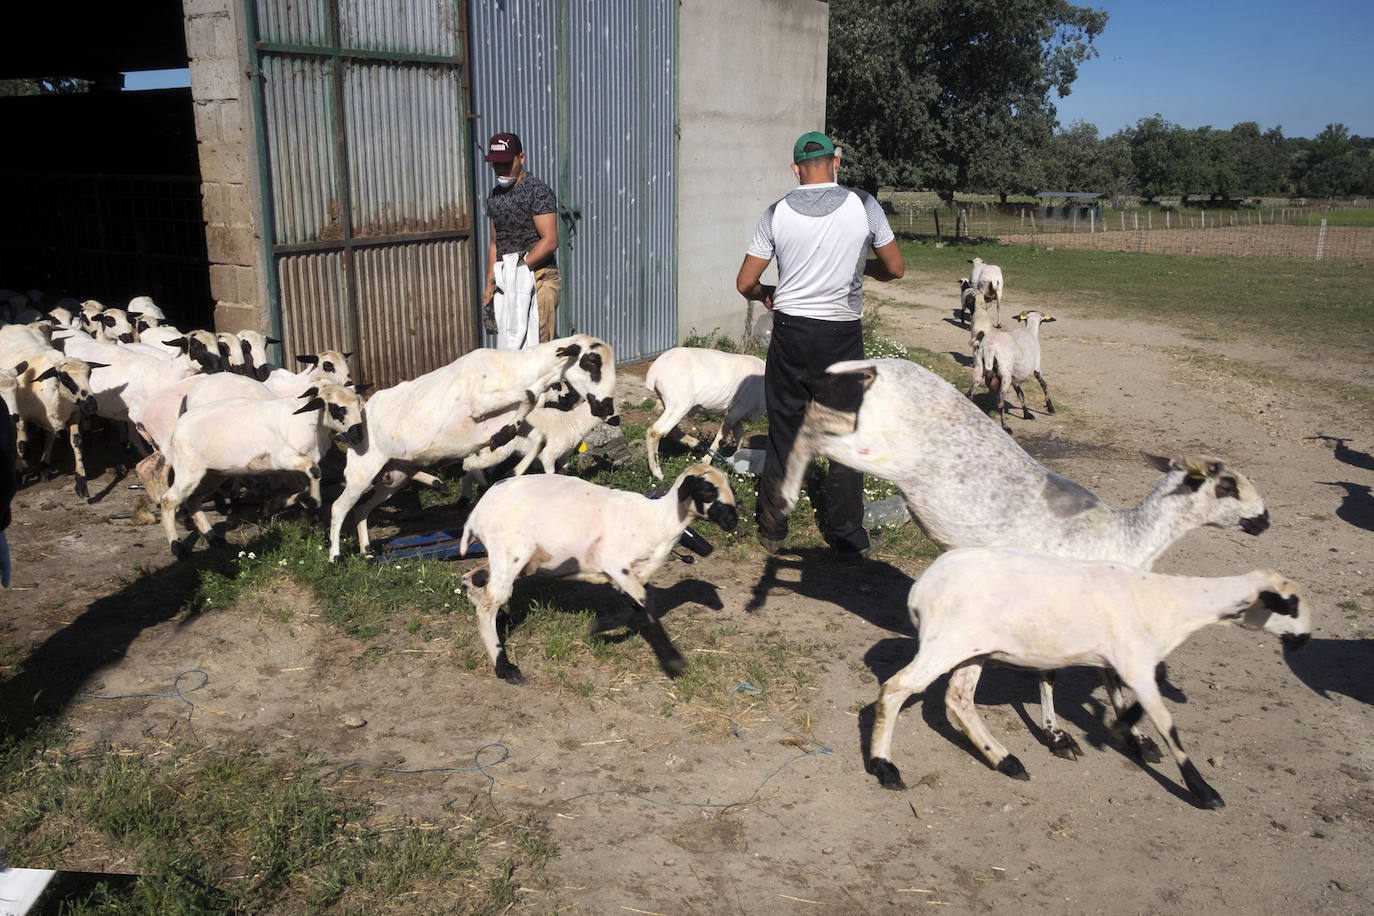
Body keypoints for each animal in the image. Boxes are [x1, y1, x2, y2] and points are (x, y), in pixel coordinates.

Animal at [324, 333, 615, 563]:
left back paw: (366, 551)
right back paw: (335, 557)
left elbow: (529, 420)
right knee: (338, 508)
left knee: (361, 509)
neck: (512, 370)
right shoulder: (480, 404)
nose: (607, 407)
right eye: (591, 362)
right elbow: (529, 395)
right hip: (363, 470)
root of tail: (362, 412)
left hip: (394, 476)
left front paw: (506, 453)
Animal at [458, 466, 741, 681]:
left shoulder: (625, 576)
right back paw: (504, 667)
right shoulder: (617, 565)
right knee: (488, 602)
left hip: (517, 560)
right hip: (511, 551)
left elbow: (637, 607)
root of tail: (476, 513)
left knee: (472, 579)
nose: (732, 522)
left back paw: (502, 621)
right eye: (708, 490)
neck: (660, 521)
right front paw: (674, 662)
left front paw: (599, 627)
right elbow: (647, 605)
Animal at [640, 347, 763, 483]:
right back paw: (658, 473)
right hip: (680, 403)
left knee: (659, 414)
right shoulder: (737, 410)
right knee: (655, 432)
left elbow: (740, 435)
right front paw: (706, 462)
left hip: (668, 402)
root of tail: (655, 372)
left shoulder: (734, 412)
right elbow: (722, 437)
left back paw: (695, 443)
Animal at [780, 357, 1269, 769]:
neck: (1126, 537)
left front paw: (1134, 741)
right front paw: (1064, 737)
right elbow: (1058, 675)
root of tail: (872, 365)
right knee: (811, 436)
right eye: (1228, 486)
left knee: (815, 419)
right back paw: (776, 510)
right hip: (877, 450)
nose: (1264, 519)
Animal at [868, 543, 1308, 807]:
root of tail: (921, 590)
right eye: (1290, 605)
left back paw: (1006, 761)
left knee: (957, 700)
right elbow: (1168, 725)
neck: (1173, 605)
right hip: (945, 643)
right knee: (896, 689)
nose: (1304, 639)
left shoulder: (1119, 661)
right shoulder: (1137, 664)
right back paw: (885, 768)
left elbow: (1121, 701)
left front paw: (1132, 739)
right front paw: (1204, 791)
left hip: (970, 649)